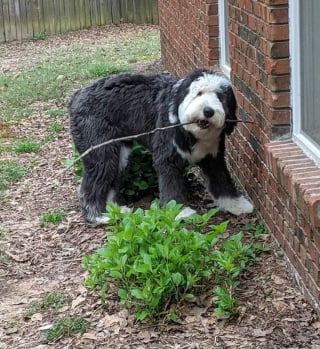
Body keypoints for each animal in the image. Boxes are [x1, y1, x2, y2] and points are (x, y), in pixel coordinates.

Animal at [69, 68, 254, 223]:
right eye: (199, 93)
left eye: (220, 96)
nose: (208, 111)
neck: (190, 133)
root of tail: (77, 95)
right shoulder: (167, 158)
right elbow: (171, 184)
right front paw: (179, 212)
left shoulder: (213, 158)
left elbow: (223, 182)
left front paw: (236, 204)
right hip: (101, 153)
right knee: (90, 185)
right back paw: (98, 216)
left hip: (121, 156)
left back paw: (114, 211)